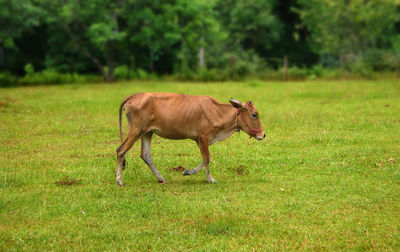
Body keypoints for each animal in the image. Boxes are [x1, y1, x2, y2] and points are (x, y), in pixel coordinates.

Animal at [115, 92, 266, 185]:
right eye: (254, 114)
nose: (262, 134)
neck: (217, 111)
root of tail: (134, 96)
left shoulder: (199, 140)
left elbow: (204, 159)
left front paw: (189, 172)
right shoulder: (203, 137)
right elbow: (207, 158)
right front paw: (209, 178)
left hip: (147, 132)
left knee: (145, 155)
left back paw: (160, 178)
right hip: (136, 130)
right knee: (121, 150)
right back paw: (119, 180)